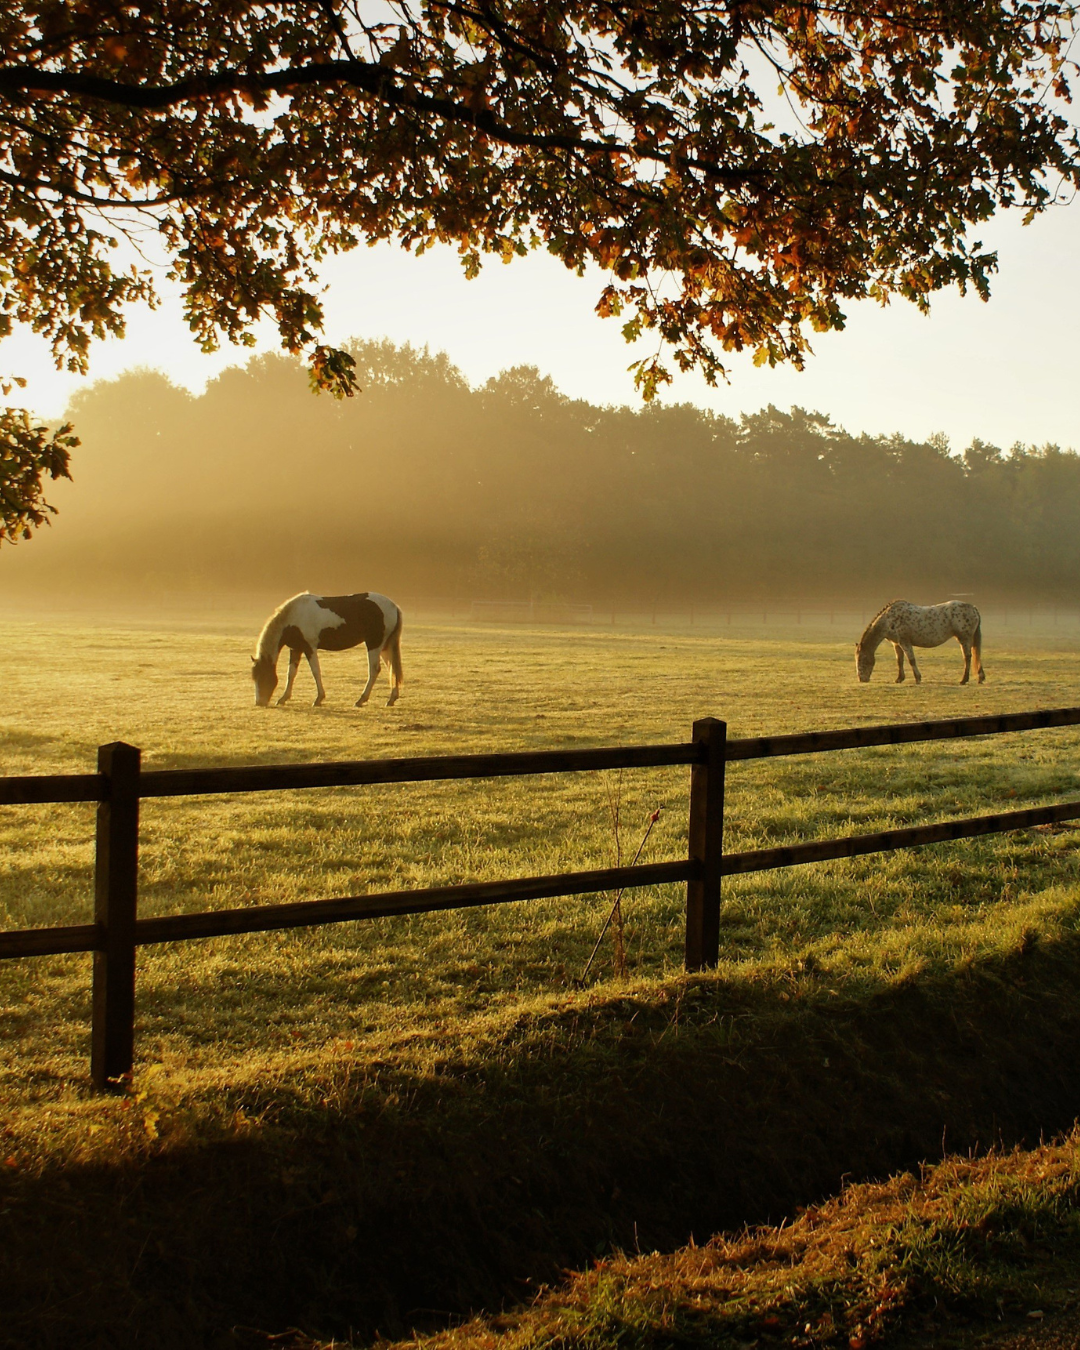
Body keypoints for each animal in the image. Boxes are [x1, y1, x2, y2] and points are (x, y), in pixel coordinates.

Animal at [251, 592, 403, 707]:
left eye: (262, 676)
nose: (259, 702)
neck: (293, 616)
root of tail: (393, 606)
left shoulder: (309, 648)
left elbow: (315, 672)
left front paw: (318, 699)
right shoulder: (296, 649)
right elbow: (291, 673)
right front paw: (283, 698)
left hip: (374, 644)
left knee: (374, 670)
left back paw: (361, 700)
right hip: (385, 646)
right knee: (392, 668)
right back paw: (391, 699)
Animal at [855, 600, 985, 684]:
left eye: (861, 659)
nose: (861, 679)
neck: (889, 620)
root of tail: (973, 608)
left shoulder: (905, 642)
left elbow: (911, 660)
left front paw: (917, 678)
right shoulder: (897, 644)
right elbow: (899, 661)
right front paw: (899, 678)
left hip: (964, 639)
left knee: (967, 657)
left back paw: (964, 680)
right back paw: (980, 677)